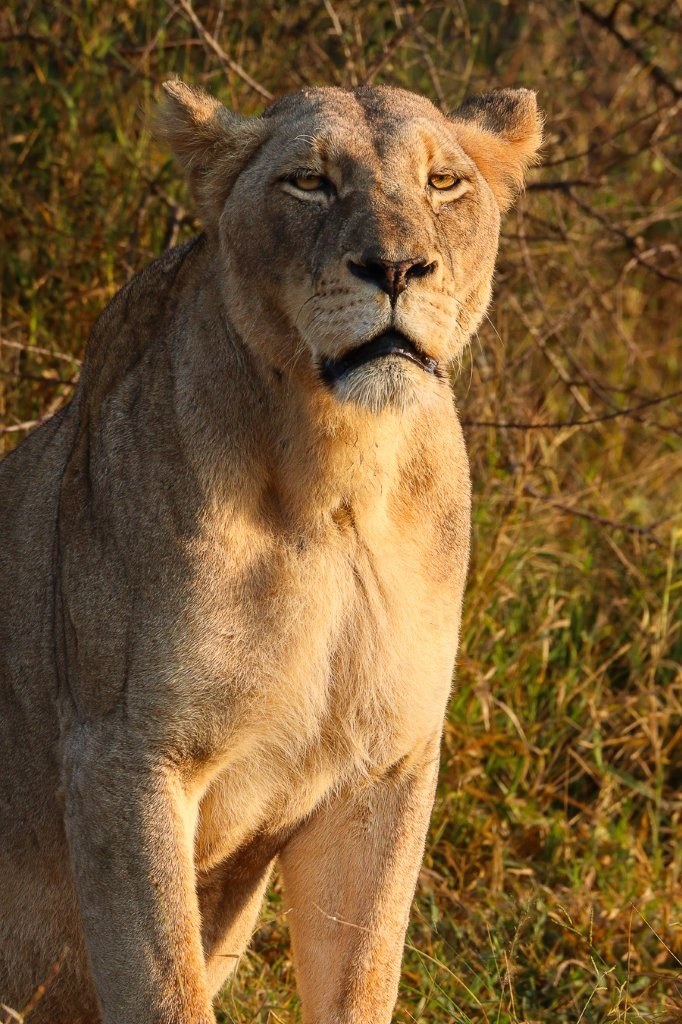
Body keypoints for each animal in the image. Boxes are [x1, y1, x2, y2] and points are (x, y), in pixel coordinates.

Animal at [0, 79, 541, 1024]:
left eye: (442, 182)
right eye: (308, 182)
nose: (397, 269)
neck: (337, 483)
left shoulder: (384, 769)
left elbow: (362, 977)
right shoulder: (123, 757)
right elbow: (165, 990)